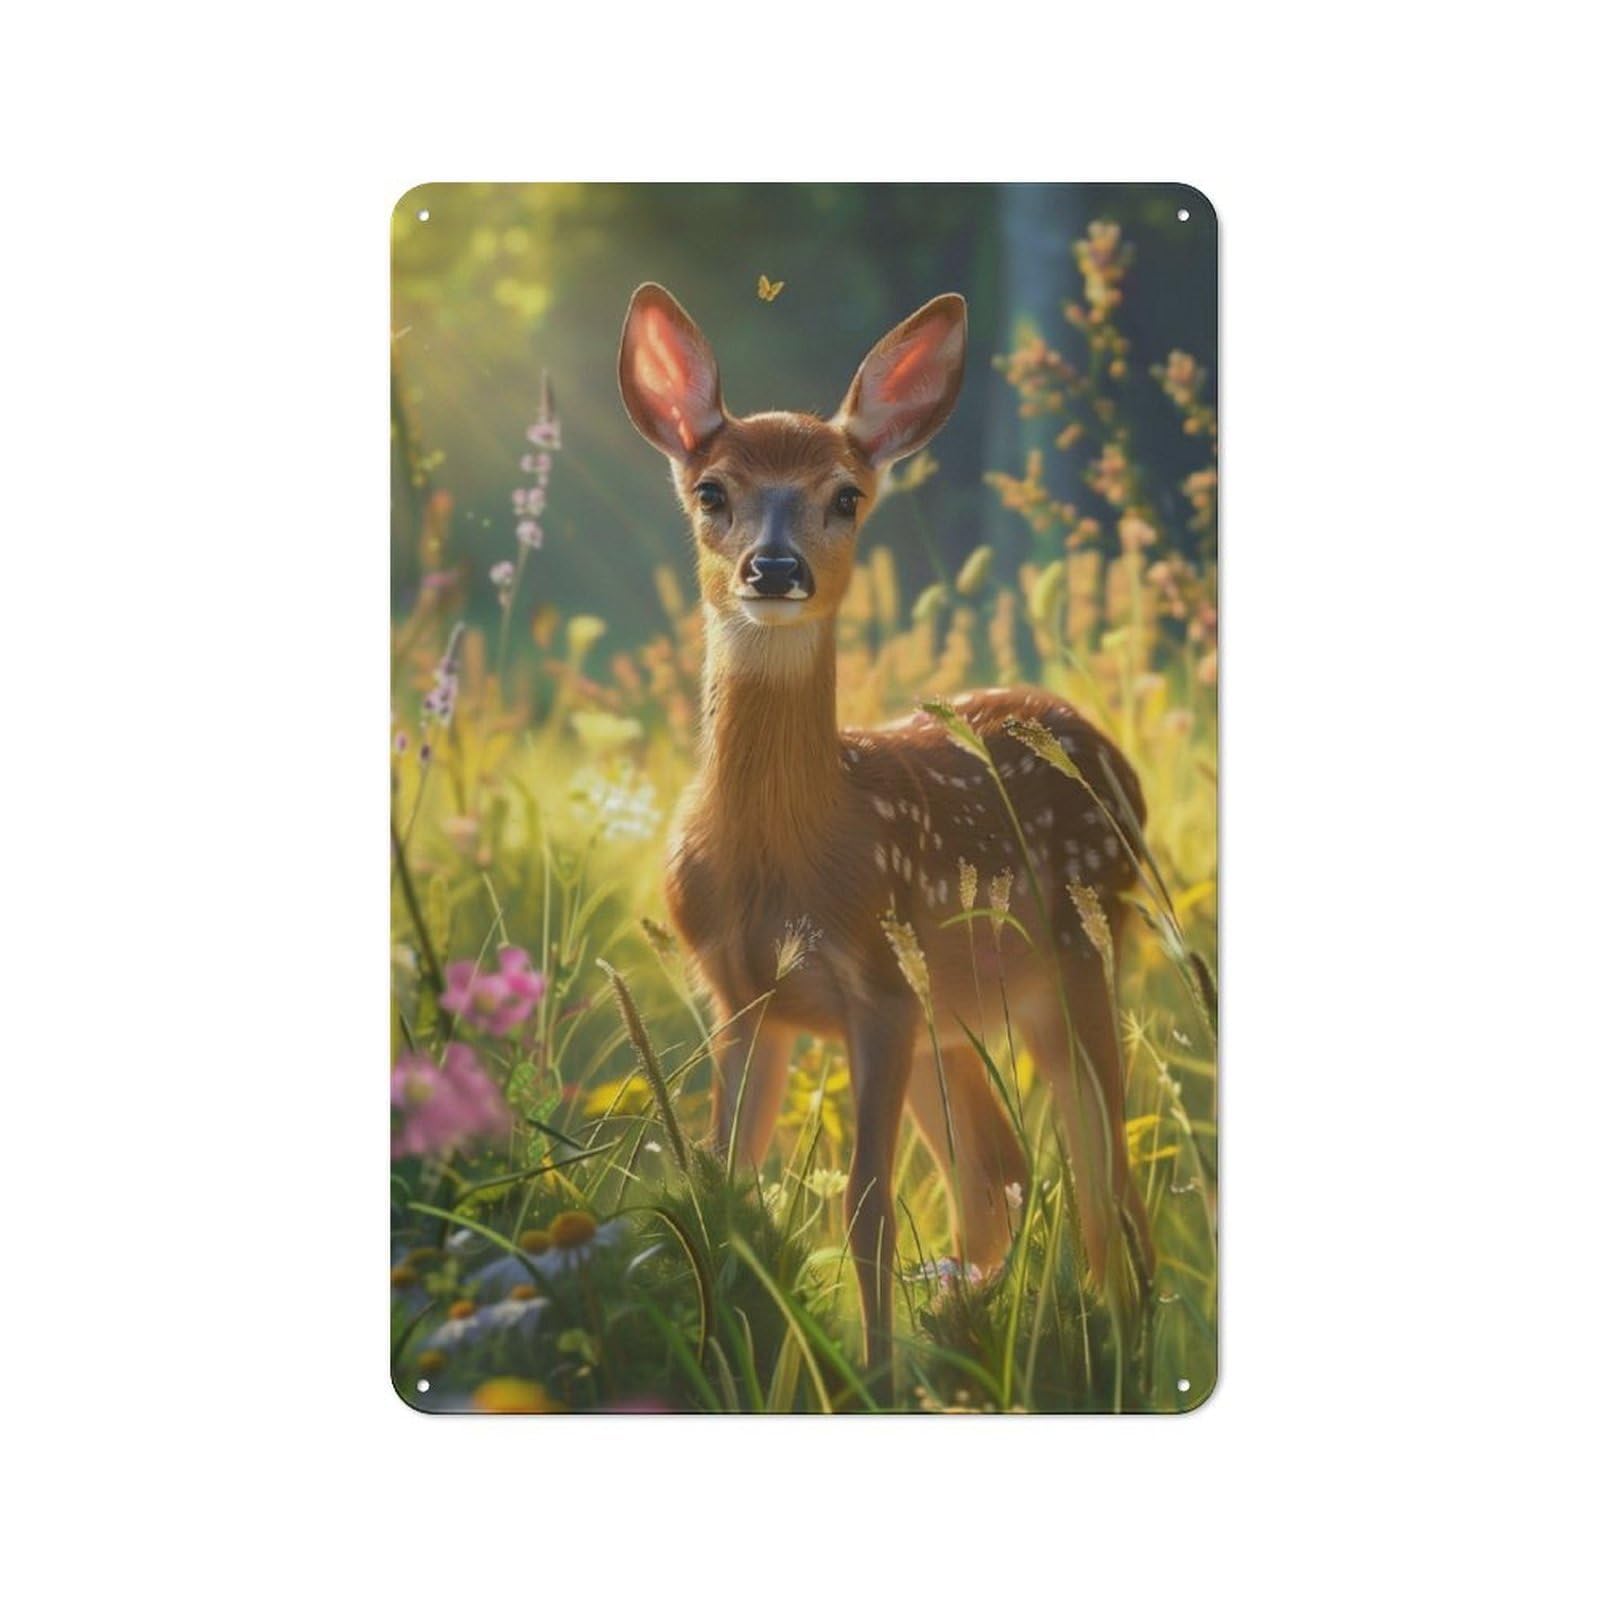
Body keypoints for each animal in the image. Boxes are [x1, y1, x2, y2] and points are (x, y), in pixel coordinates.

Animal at [618, 283, 1154, 1387]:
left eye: (845, 496)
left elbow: (866, 1211)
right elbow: (725, 1186)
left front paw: (865, 1381)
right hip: (960, 1014)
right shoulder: (742, 995)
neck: (792, 853)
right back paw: (966, 1321)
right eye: (712, 491)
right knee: (1002, 1174)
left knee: (1103, 1175)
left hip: (1073, 957)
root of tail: (1113, 759)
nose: (774, 568)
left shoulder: (879, 989)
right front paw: (734, 1352)